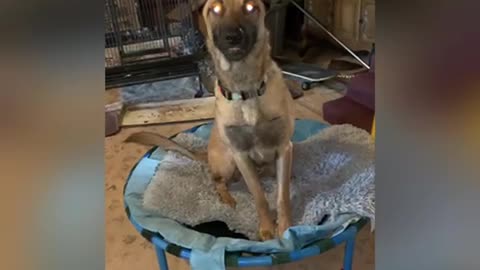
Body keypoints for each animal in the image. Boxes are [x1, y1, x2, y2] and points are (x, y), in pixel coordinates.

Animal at [125, 0, 294, 240]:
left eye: (250, 7)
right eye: (215, 9)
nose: (233, 36)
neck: (246, 87)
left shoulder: (283, 148)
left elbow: (283, 195)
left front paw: (286, 228)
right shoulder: (240, 155)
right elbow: (259, 196)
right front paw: (267, 228)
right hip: (228, 162)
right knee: (217, 182)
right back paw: (227, 198)